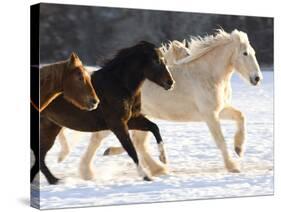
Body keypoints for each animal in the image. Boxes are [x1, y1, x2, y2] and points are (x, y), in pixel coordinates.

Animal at [31, 41, 174, 184]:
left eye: (164, 60)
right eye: (156, 61)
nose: (171, 82)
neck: (120, 85)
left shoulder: (132, 119)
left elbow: (154, 127)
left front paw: (163, 158)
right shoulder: (117, 124)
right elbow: (131, 149)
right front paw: (145, 175)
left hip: (51, 128)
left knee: (41, 155)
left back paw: (54, 180)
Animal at [57, 29, 262, 180]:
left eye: (253, 53)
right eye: (245, 53)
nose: (257, 78)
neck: (207, 75)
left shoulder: (219, 110)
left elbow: (240, 116)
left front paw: (239, 149)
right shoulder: (209, 115)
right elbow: (220, 140)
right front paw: (233, 166)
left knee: (137, 143)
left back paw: (156, 168)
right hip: (120, 119)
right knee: (100, 139)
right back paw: (88, 172)